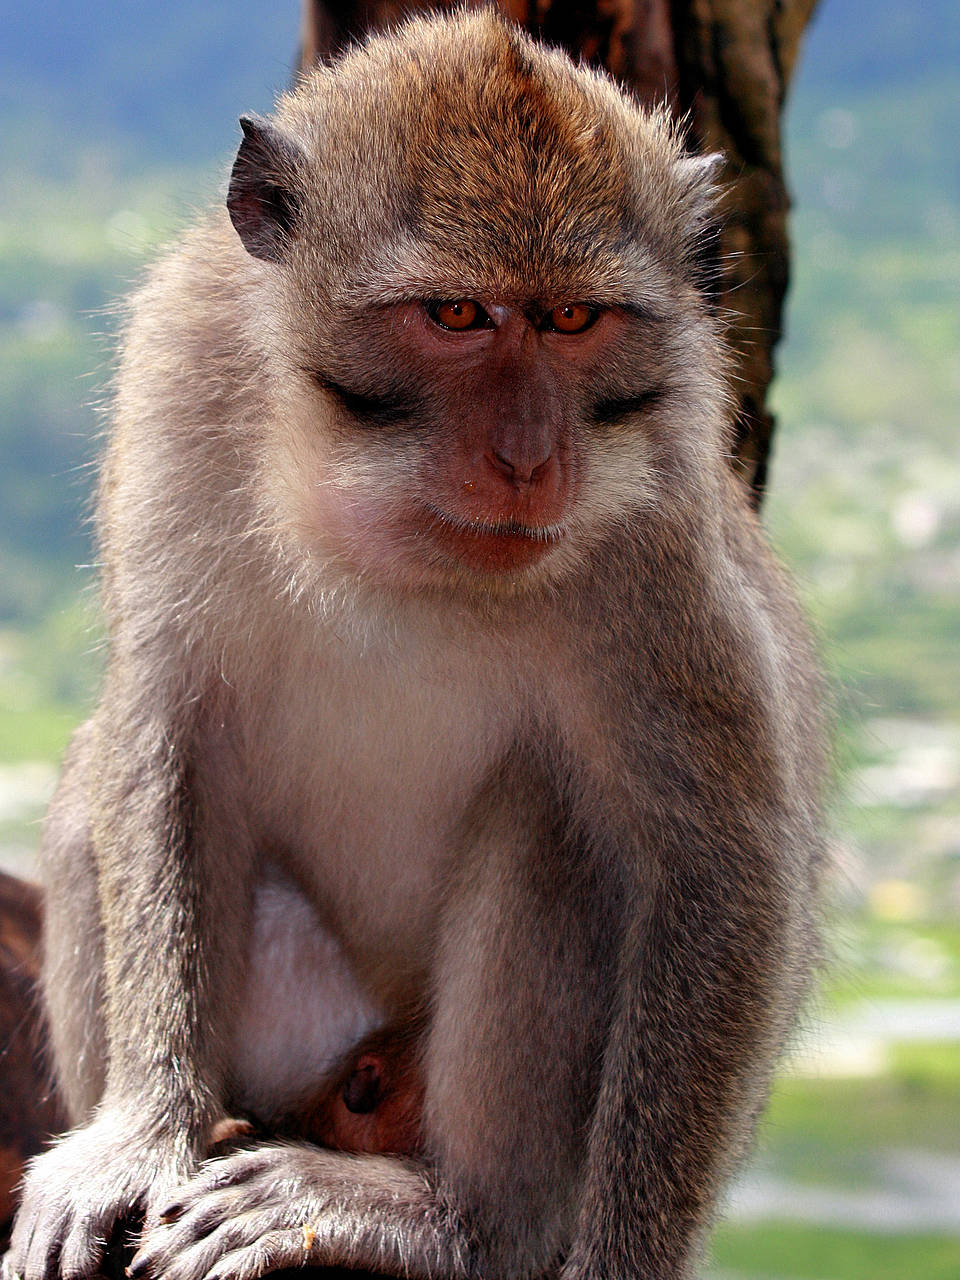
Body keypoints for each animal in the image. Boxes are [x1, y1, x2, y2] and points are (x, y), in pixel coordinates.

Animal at [5, 10, 829, 1280]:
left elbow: (719, 861)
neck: (382, 514)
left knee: (561, 826)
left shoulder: (664, 518)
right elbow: (163, 727)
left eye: (573, 318)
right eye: (456, 315)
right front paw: (141, 1134)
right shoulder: (180, 372)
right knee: (95, 775)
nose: (530, 457)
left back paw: (457, 1219)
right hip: (310, 1024)